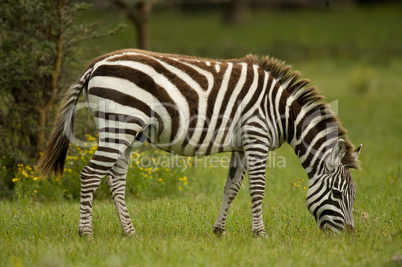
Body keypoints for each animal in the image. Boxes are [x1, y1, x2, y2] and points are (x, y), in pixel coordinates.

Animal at [37, 49, 362, 238]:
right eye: (336, 194)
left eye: (353, 197)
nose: (349, 235)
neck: (281, 111)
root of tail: (98, 63)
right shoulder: (256, 138)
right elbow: (257, 190)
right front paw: (260, 234)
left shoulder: (241, 146)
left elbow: (231, 188)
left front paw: (218, 230)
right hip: (120, 126)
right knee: (90, 175)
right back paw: (85, 233)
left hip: (123, 132)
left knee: (114, 180)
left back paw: (130, 233)